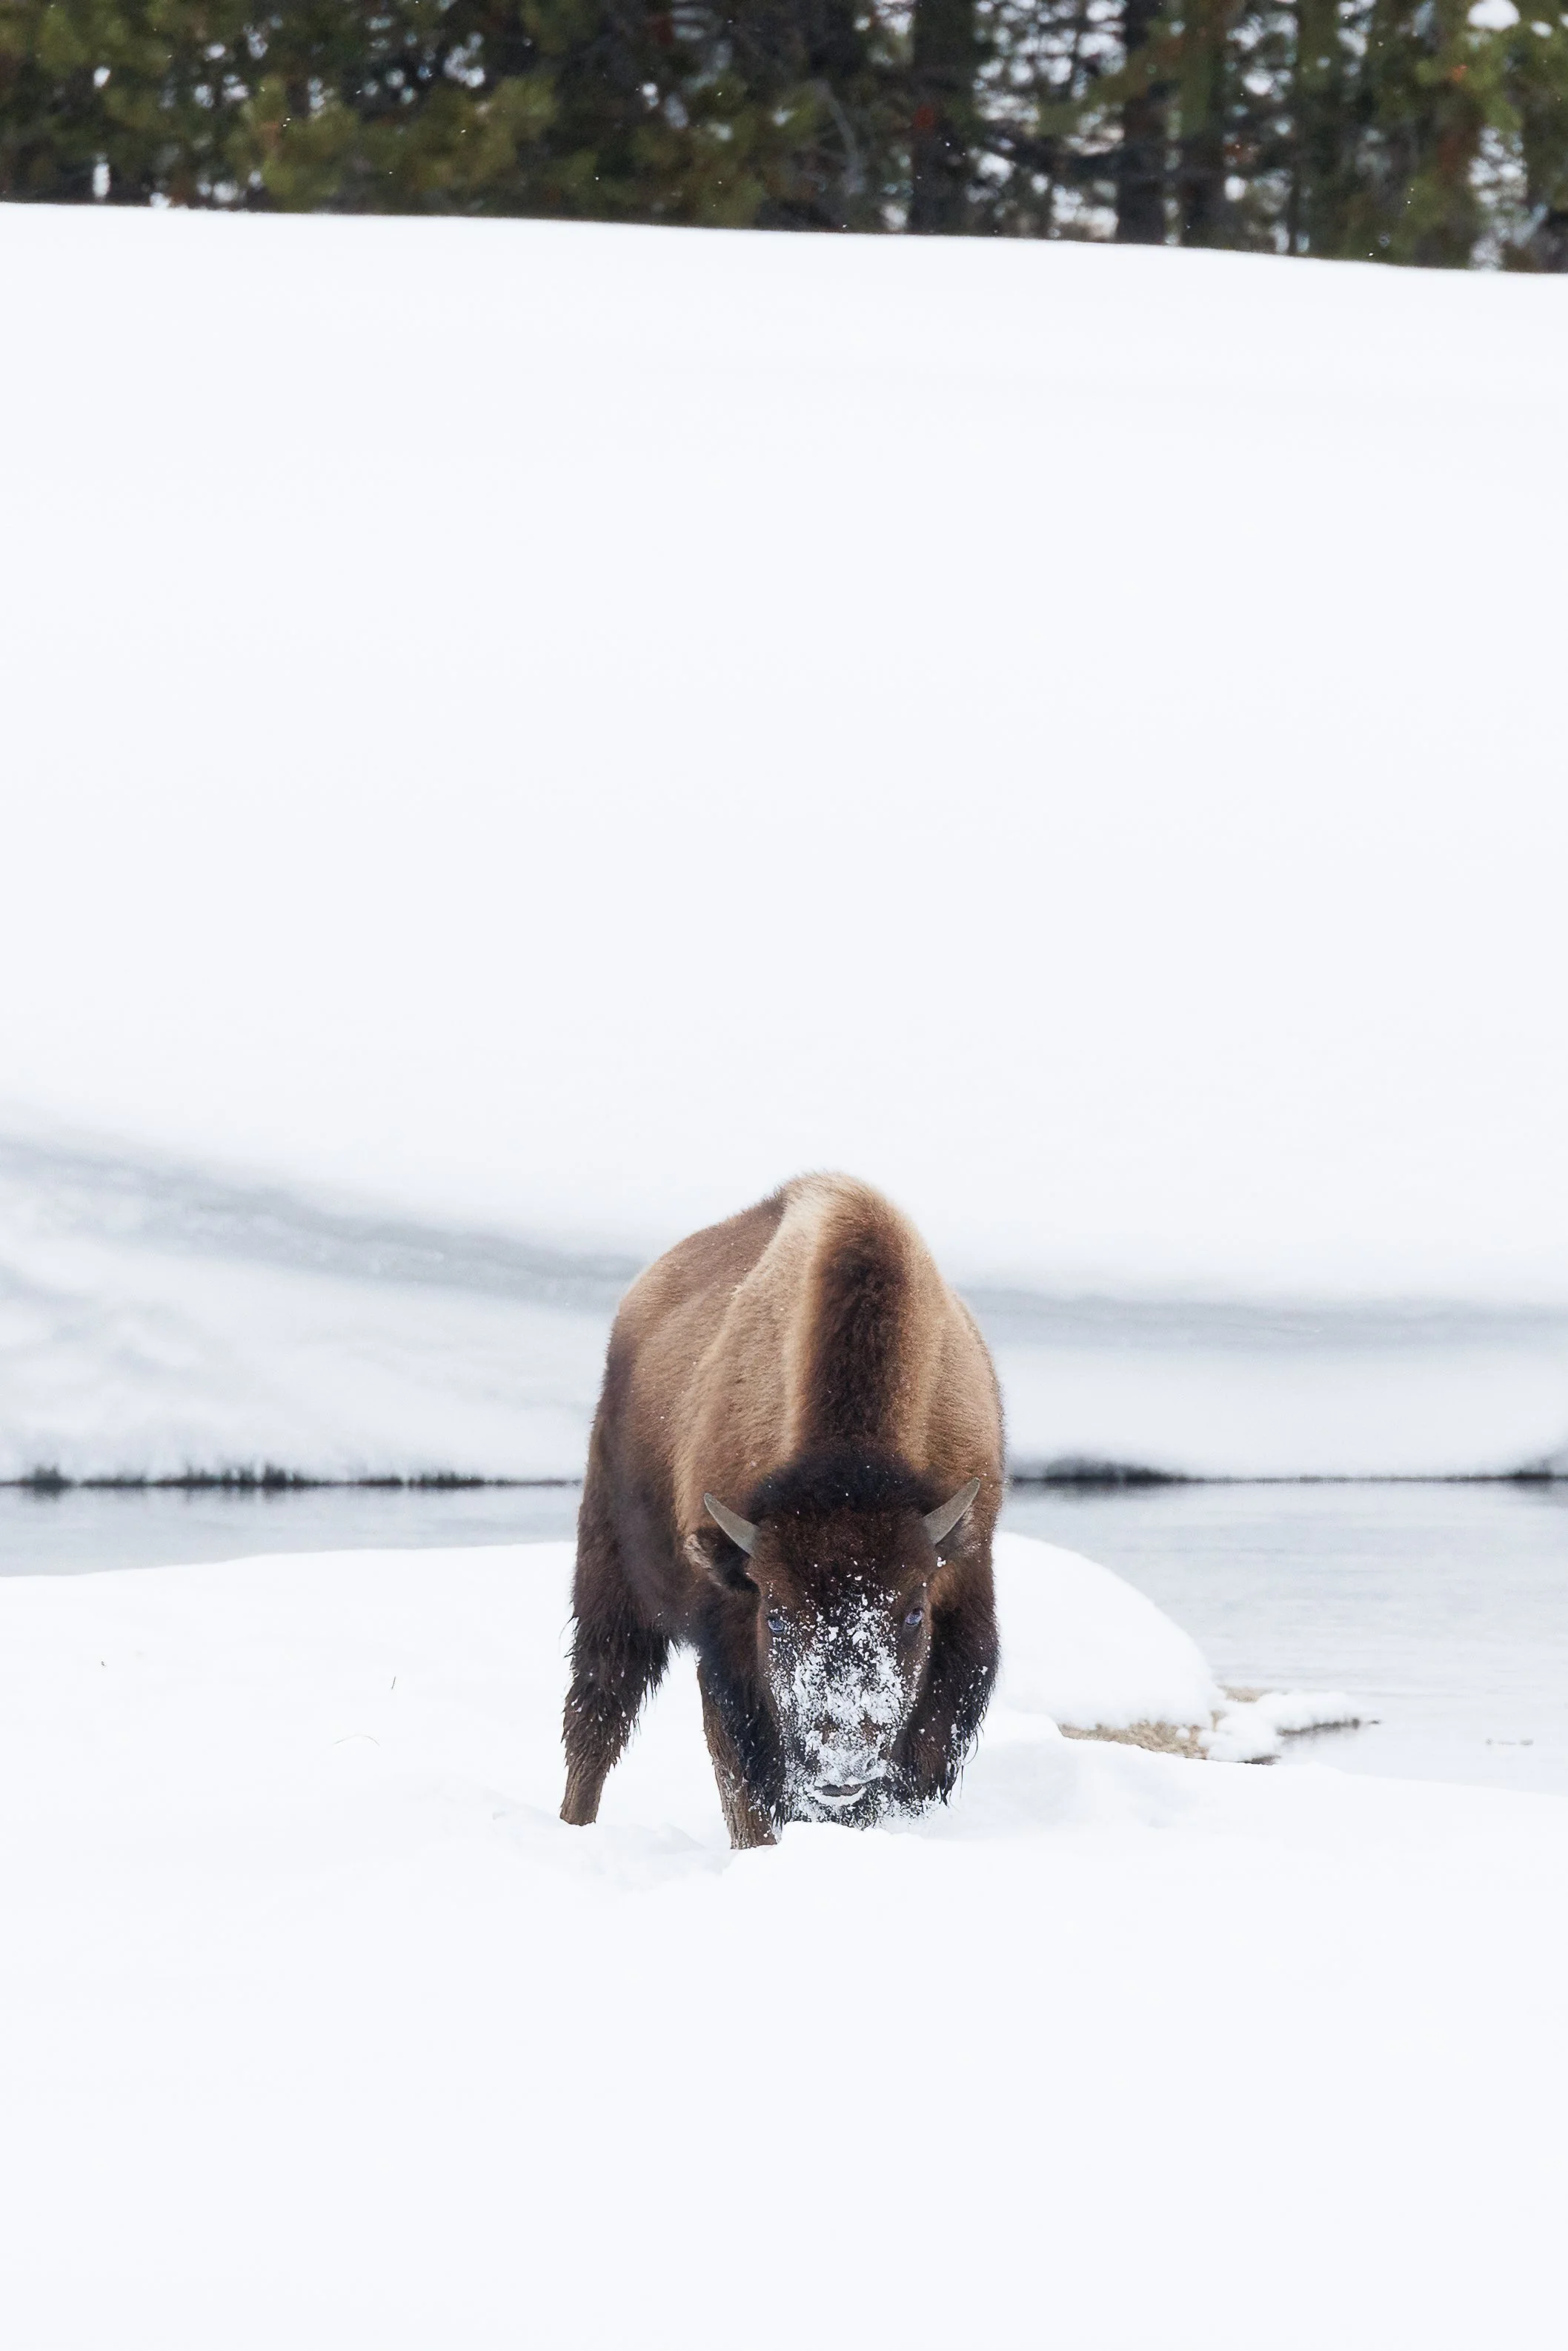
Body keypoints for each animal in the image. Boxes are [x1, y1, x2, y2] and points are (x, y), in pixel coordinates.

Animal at [561, 1174, 1003, 1846]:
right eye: (776, 1616)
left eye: (913, 1612)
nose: (842, 1765)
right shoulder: (729, 1643)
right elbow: (742, 1782)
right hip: (609, 1576)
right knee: (598, 1713)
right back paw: (572, 1827)